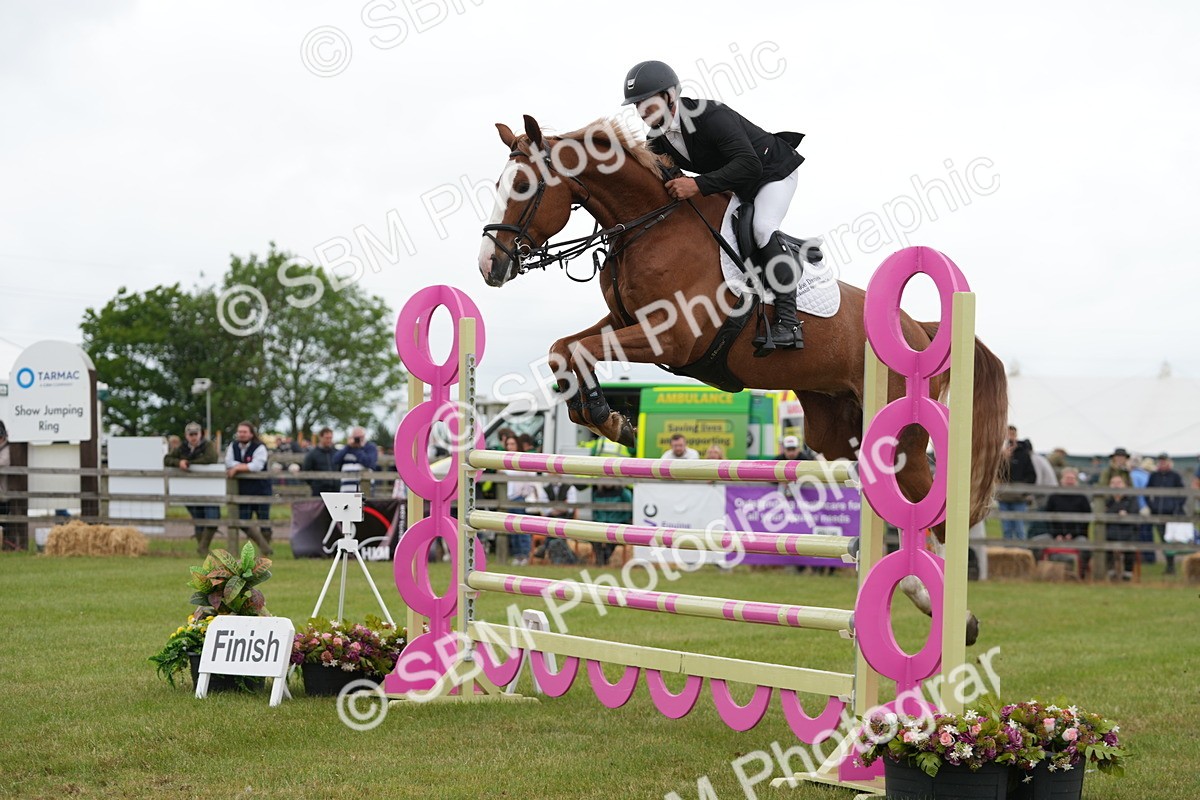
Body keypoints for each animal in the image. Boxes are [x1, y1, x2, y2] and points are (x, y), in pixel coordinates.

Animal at [477, 115, 1007, 644]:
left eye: (523, 187)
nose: (490, 266)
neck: (650, 225)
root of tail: (919, 326)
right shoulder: (625, 321)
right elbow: (563, 349)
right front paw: (599, 414)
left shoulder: (672, 339)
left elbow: (579, 350)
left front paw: (607, 417)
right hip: (836, 427)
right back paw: (920, 593)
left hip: (902, 435)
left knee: (929, 506)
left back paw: (953, 614)